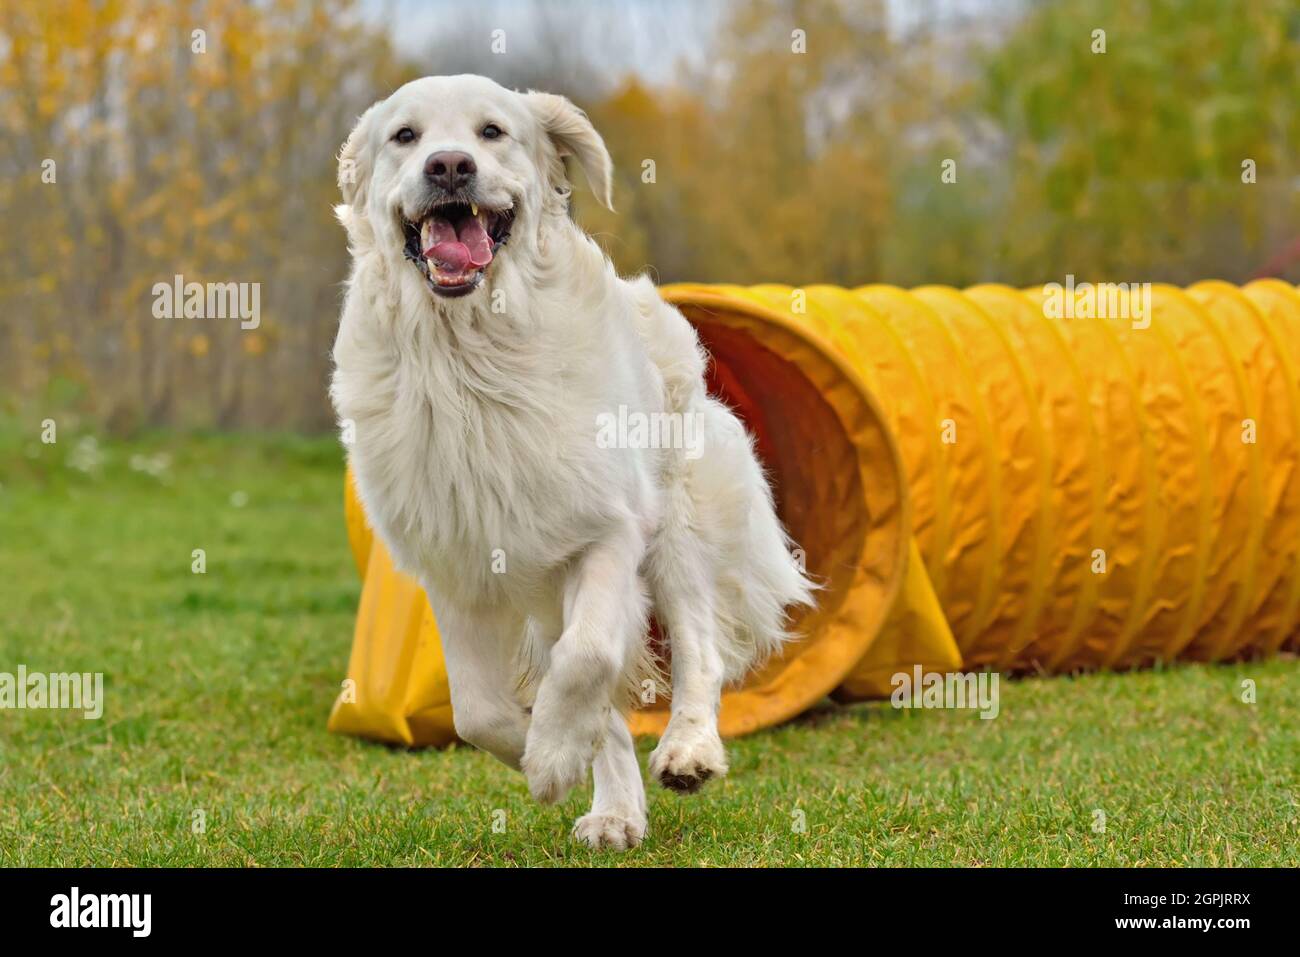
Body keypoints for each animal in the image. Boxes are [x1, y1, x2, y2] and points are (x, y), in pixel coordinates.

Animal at [327, 76, 811, 852]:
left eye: (492, 131)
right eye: (405, 136)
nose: (450, 166)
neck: (469, 350)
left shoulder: (606, 531)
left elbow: (588, 658)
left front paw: (553, 755)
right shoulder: (457, 565)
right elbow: (478, 710)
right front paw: (546, 752)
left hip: (675, 529)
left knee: (697, 647)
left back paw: (687, 751)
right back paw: (616, 812)